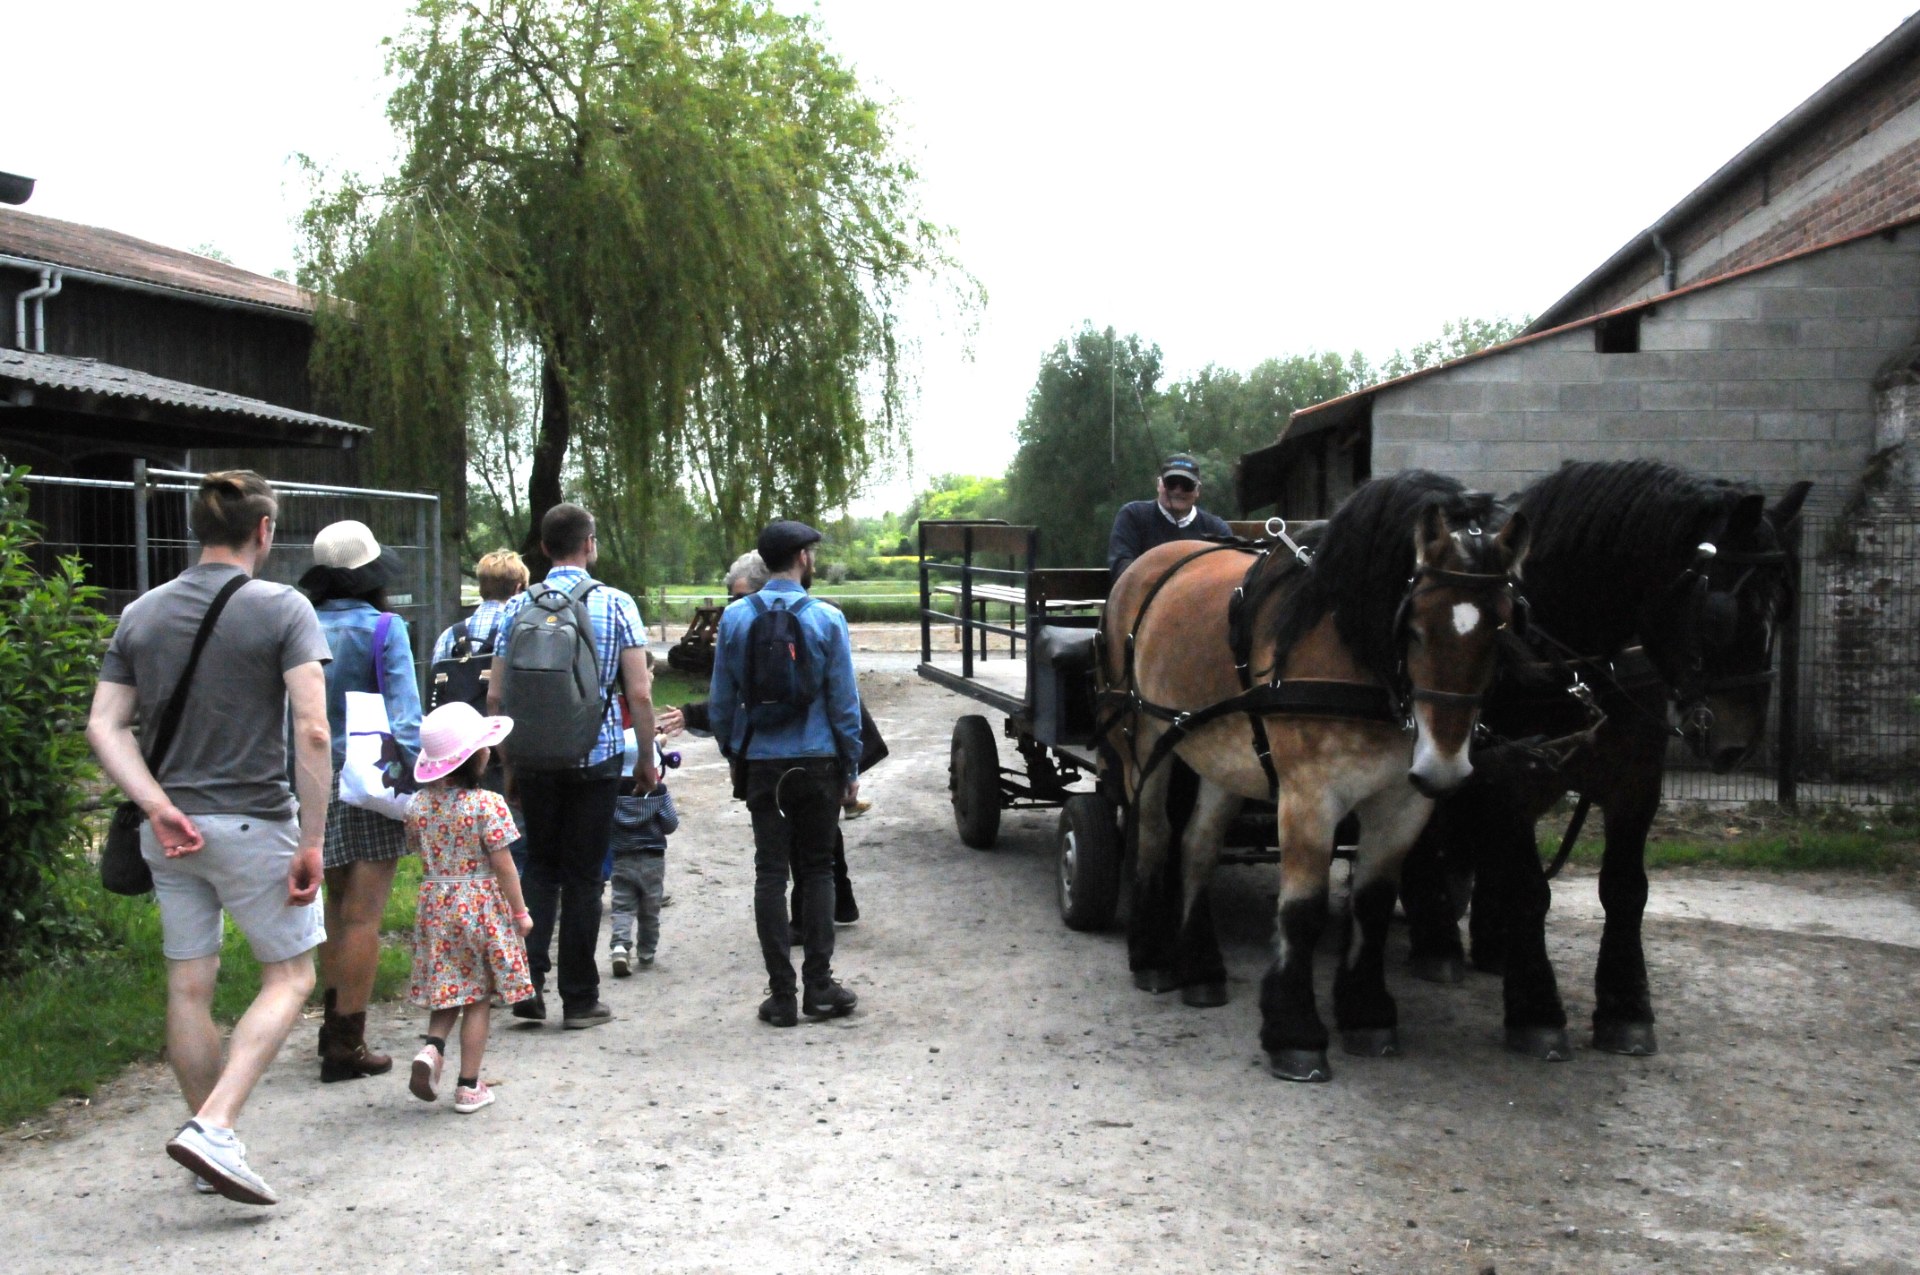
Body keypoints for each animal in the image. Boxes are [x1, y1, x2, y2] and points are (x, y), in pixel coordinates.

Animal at [1098, 472, 1528, 1082]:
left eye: (1502, 627)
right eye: (1414, 626)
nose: (1443, 767)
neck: (1360, 660)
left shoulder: (1403, 801)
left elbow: (1372, 902)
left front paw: (1367, 1014)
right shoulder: (1310, 796)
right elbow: (1302, 910)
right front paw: (1294, 1031)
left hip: (1222, 753)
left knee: (1197, 846)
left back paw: (1201, 970)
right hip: (1145, 741)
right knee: (1154, 836)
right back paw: (1152, 958)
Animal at [1405, 458, 1804, 1052]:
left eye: (1782, 606)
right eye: (1723, 611)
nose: (1738, 744)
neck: (1575, 662)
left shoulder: (1634, 783)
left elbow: (1625, 890)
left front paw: (1626, 1005)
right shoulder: (1512, 777)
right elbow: (1530, 888)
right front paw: (1537, 1009)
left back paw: (1491, 943)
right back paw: (1436, 940)